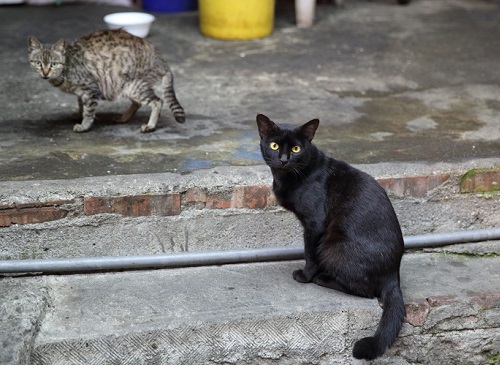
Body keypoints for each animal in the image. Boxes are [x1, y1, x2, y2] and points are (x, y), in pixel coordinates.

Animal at [26, 29, 186, 133]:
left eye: (53, 64)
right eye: (38, 63)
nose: (45, 72)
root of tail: (161, 60)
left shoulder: (90, 89)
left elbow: (89, 111)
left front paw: (84, 125)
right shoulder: (81, 92)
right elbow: (80, 104)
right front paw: (78, 114)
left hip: (134, 85)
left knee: (157, 101)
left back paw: (150, 126)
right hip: (127, 86)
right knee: (138, 103)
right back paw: (123, 118)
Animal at [256, 114, 404, 360]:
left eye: (296, 148)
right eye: (274, 146)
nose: (284, 160)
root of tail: (394, 275)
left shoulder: (314, 224)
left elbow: (309, 253)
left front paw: (305, 276)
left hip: (332, 247)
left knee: (365, 291)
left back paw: (322, 279)